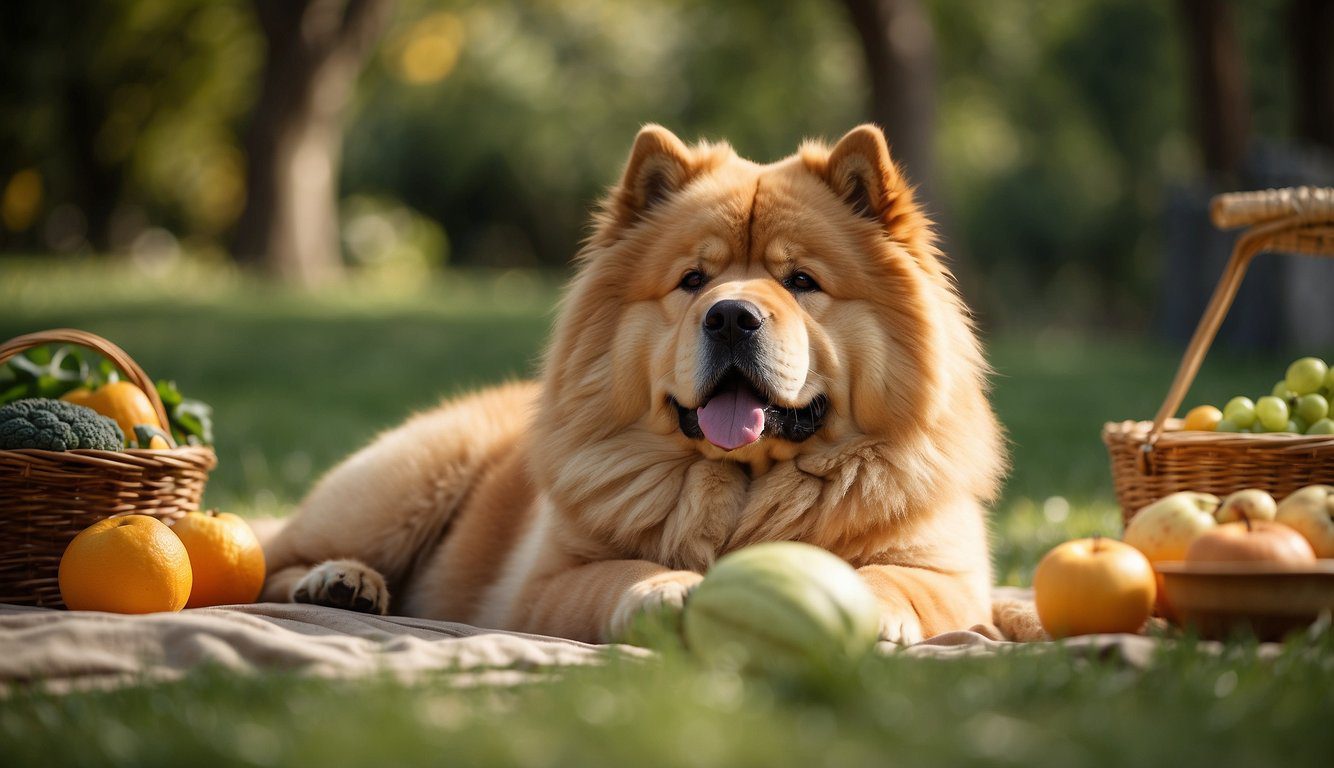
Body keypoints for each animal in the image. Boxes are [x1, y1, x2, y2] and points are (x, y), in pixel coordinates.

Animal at [265, 124, 1003, 642]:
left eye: (801, 281)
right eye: (693, 280)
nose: (730, 316)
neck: (743, 485)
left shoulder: (951, 572)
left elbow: (901, 579)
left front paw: (864, 603)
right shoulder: (549, 583)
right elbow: (620, 573)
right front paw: (666, 589)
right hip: (400, 488)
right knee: (276, 556)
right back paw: (341, 583)